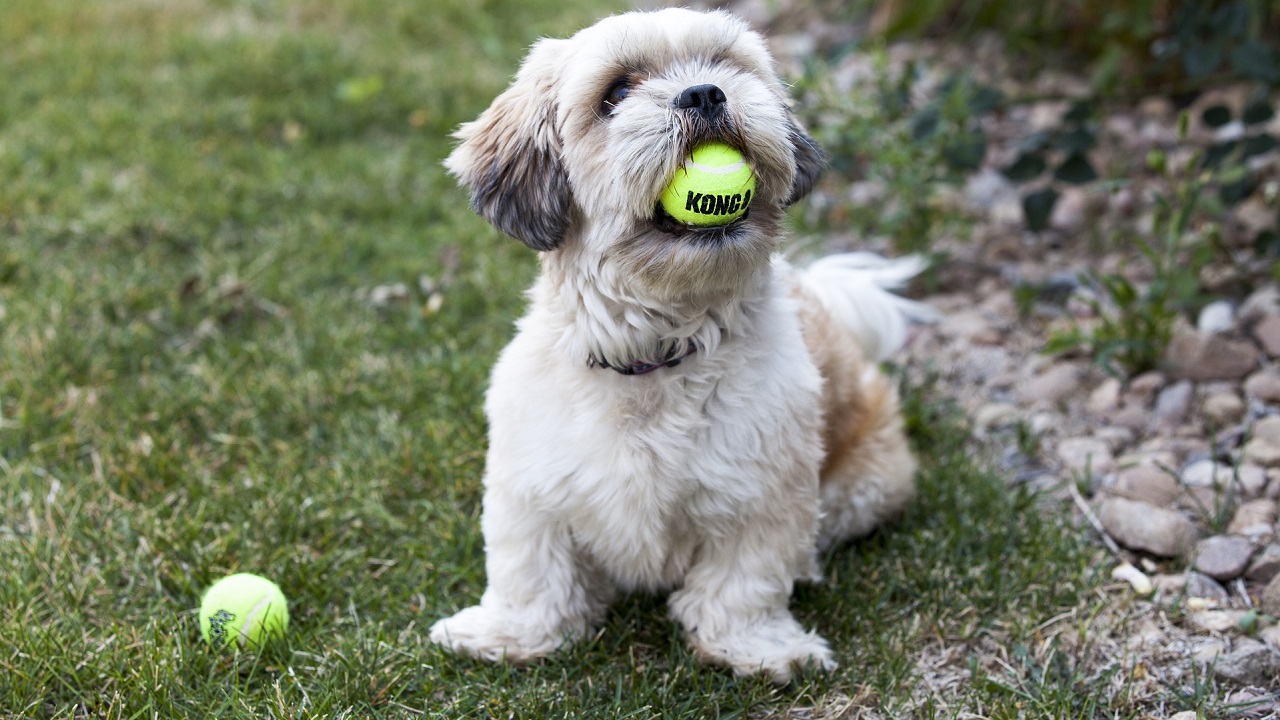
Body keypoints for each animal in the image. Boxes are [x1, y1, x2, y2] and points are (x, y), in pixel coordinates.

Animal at [430, 5, 931, 681]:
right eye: (615, 94)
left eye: (724, 65)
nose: (704, 92)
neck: (655, 353)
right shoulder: (531, 487)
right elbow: (531, 570)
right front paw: (509, 633)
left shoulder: (763, 494)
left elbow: (745, 582)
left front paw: (756, 647)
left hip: (865, 484)